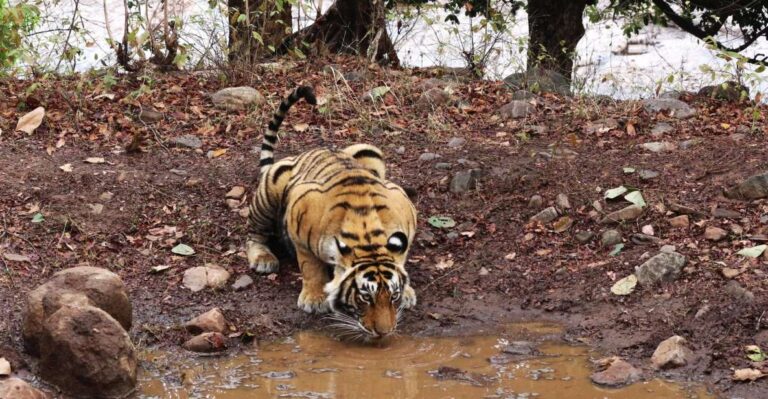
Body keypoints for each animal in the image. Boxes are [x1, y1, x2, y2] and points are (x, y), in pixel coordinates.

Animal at [246, 86, 416, 342]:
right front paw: (314, 299)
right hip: (273, 186)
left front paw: (407, 292)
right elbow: (310, 266)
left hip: (368, 150)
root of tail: (307, 152)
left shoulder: (402, 204)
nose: (384, 333)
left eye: (392, 296)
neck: (367, 235)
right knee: (254, 233)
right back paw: (263, 259)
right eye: (365, 297)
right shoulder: (300, 211)